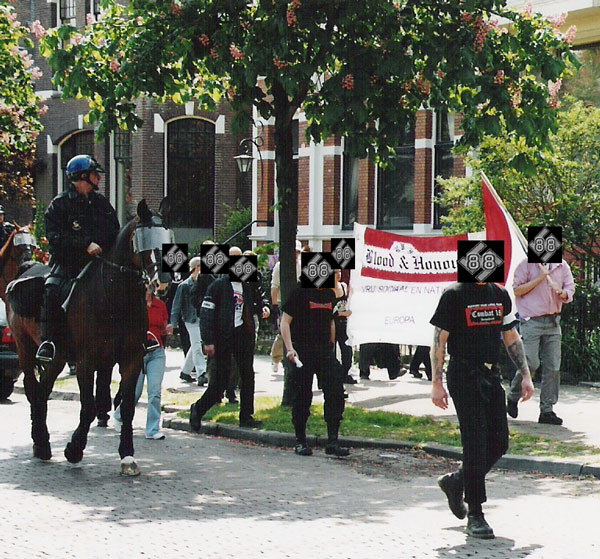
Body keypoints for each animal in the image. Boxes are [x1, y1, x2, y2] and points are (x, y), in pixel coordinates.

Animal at [7, 199, 172, 474]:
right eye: (143, 239)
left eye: (168, 236)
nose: (164, 284)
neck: (114, 297)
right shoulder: (86, 361)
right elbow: (88, 407)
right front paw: (73, 450)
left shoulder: (131, 359)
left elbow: (127, 407)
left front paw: (127, 456)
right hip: (25, 348)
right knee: (32, 387)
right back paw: (41, 443)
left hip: (59, 357)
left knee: (42, 391)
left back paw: (42, 443)